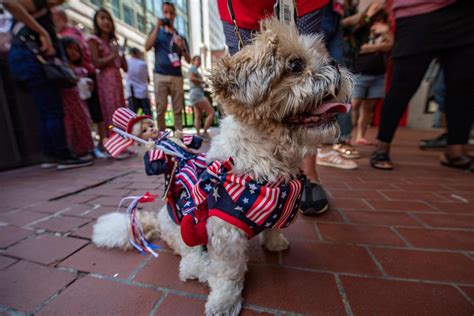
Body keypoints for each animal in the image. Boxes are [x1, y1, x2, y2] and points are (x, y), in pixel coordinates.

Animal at [92, 18, 352, 314]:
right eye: (295, 65)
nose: (334, 62)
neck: (266, 157)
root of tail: (157, 221)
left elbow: (272, 229)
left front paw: (275, 243)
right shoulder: (225, 233)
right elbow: (229, 273)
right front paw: (225, 300)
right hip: (185, 233)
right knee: (190, 264)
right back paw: (205, 271)